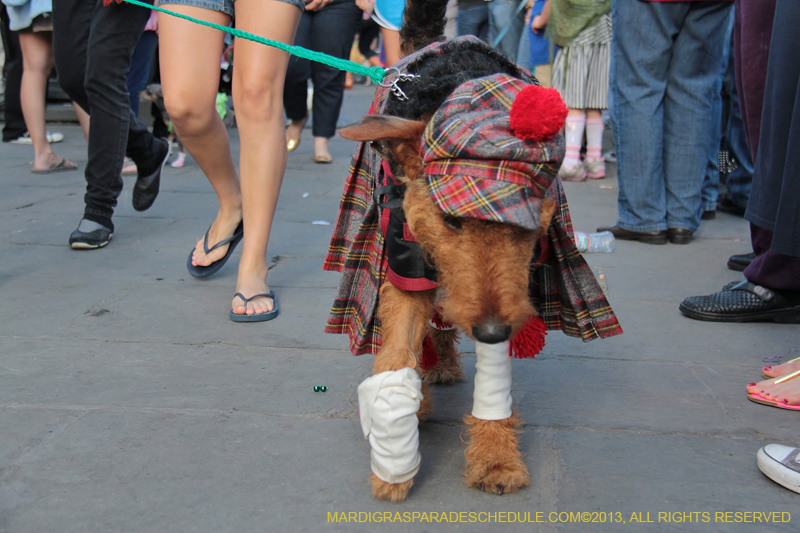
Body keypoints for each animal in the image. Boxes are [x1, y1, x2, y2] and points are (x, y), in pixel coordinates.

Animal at [322, 0, 620, 500]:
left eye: (524, 224)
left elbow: (492, 390)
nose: (493, 329)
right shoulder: (406, 264)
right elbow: (397, 351)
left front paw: (496, 461)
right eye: (450, 219)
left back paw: (440, 367)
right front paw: (393, 462)